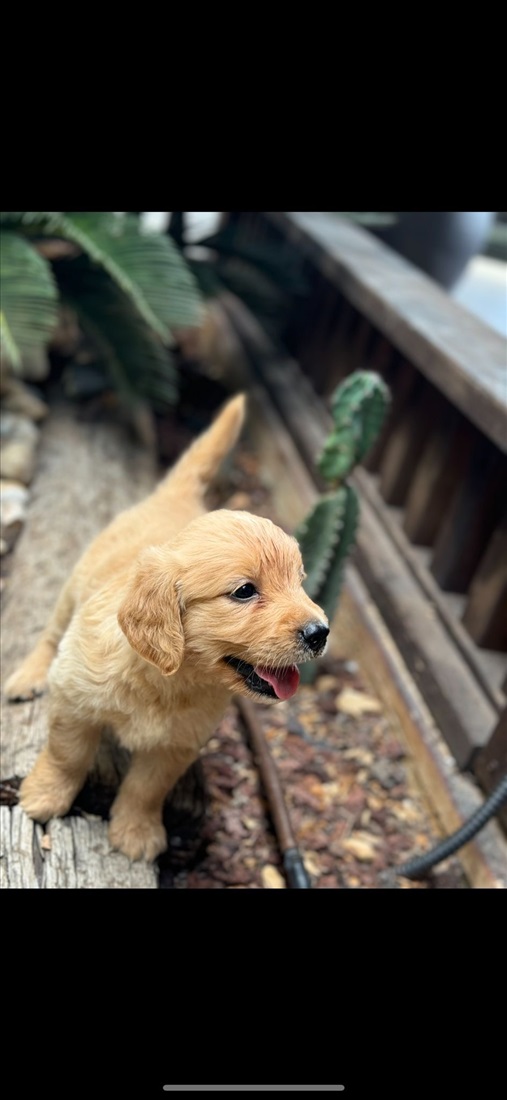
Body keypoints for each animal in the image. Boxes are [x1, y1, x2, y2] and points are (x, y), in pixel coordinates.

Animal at [4, 396, 327, 858]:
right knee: (50, 634)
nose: (321, 633)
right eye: (245, 591)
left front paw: (136, 830)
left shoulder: (175, 746)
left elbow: (146, 789)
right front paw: (45, 794)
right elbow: (67, 755)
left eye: (300, 583)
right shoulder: (73, 701)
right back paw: (28, 676)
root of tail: (173, 496)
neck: (169, 678)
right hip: (72, 588)